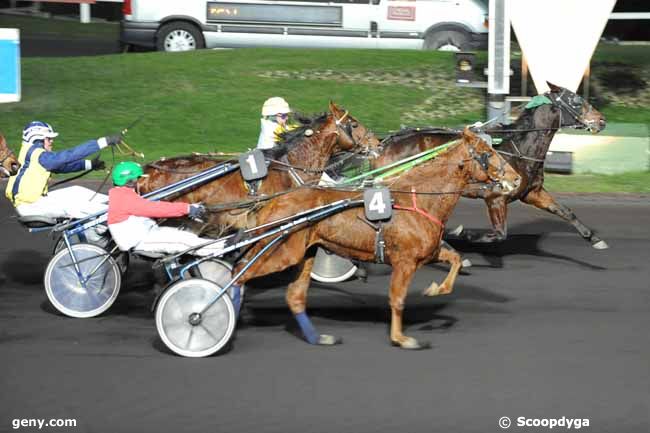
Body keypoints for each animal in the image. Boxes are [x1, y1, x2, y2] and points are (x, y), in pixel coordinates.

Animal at [230, 127, 520, 348]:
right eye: (488, 153)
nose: (517, 178)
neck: (418, 198)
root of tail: (270, 202)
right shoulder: (404, 262)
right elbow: (398, 299)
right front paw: (401, 338)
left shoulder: (429, 252)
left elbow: (456, 259)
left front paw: (435, 289)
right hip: (281, 253)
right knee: (239, 272)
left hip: (304, 253)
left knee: (294, 296)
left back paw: (317, 337)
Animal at [372, 82, 604, 248]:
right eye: (577, 101)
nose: (601, 120)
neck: (518, 148)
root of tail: (385, 144)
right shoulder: (495, 198)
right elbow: (499, 235)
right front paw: (459, 234)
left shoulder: (532, 192)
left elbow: (564, 211)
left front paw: (592, 237)